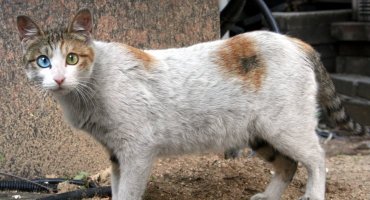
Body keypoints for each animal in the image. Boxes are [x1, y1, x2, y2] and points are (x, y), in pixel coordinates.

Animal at [16, 8, 368, 200]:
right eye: (44, 61)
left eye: (72, 59)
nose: (59, 78)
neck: (86, 92)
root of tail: (297, 42)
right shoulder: (116, 153)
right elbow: (117, 191)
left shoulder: (137, 150)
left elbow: (128, 192)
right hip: (259, 133)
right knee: (288, 165)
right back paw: (267, 197)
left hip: (285, 126)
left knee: (317, 158)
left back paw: (314, 194)